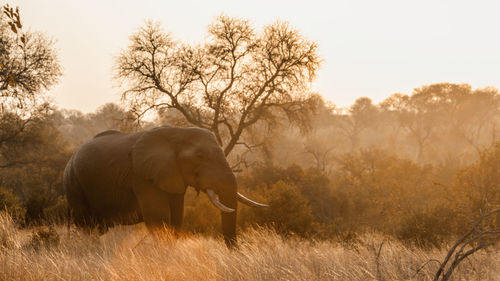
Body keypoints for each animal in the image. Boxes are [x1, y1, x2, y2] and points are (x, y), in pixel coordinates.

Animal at [64, 126, 268, 244]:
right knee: (84, 226)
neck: (177, 132)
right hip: (73, 183)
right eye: (200, 156)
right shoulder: (142, 177)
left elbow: (176, 218)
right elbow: (159, 218)